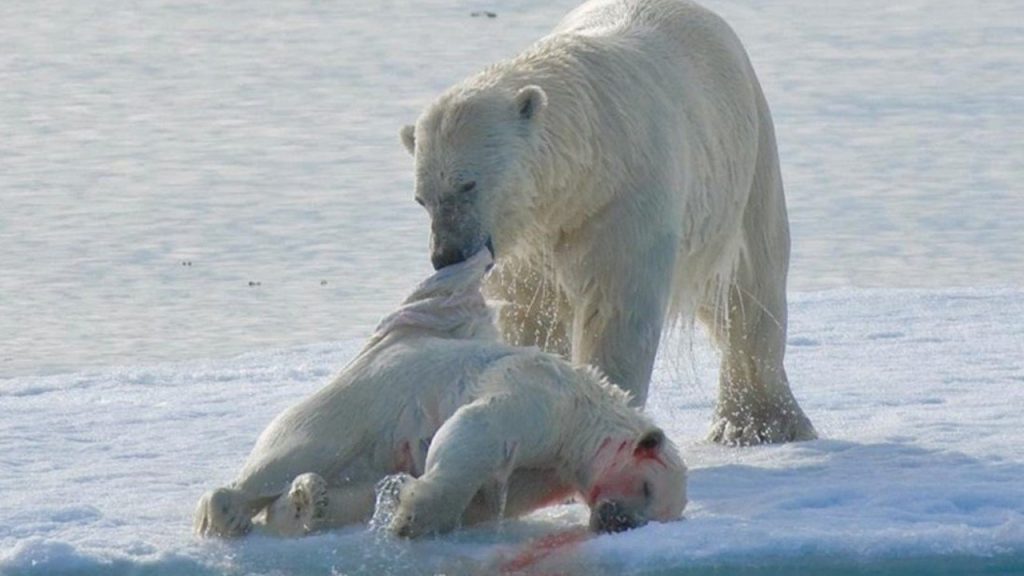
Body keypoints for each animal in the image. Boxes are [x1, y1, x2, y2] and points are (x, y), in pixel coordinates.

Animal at [194, 249, 686, 538]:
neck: (587, 414)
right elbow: (478, 431)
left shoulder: (550, 472)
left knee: (347, 481)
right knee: (298, 449)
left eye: (658, 513)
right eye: (647, 487)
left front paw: (401, 506)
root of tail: (386, 342)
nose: (615, 522)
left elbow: (489, 500)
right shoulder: (542, 395)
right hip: (361, 400)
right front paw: (411, 519)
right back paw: (229, 512)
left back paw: (308, 502)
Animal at [399, 0, 816, 445]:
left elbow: (616, 310)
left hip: (746, 165)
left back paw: (758, 423)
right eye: (422, 198)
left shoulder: (622, 198)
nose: (446, 254)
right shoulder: (530, 241)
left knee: (751, 291)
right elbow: (529, 312)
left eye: (468, 183)